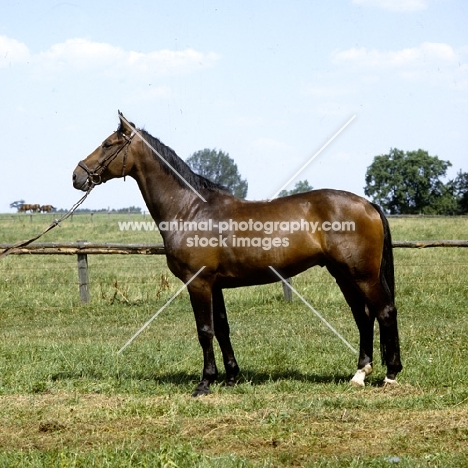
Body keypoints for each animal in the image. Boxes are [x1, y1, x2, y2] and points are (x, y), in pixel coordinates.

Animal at [71, 112, 400, 394]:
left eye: (108, 144)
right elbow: (222, 329)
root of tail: (368, 204)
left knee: (384, 311)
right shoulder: (215, 285)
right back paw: (359, 374)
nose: (77, 176)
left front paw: (205, 383)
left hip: (363, 275)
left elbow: (205, 330)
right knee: (363, 317)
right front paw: (231, 377)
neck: (191, 210)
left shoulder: (198, 283)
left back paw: (391, 375)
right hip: (343, 274)